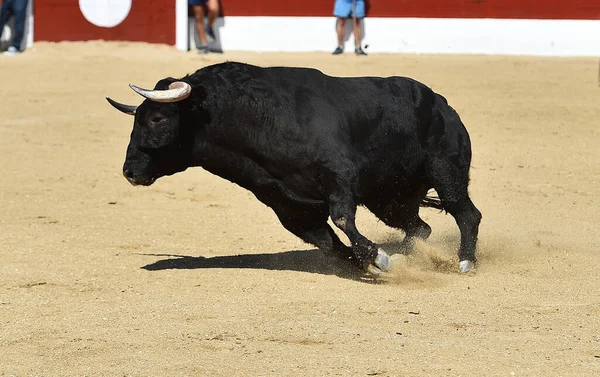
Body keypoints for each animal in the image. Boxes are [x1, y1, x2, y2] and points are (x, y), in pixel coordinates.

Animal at [106, 61, 482, 274]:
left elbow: (342, 219)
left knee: (466, 214)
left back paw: (464, 263)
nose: (130, 171)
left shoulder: (338, 176)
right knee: (420, 228)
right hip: (390, 199)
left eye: (156, 118)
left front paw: (380, 258)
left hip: (446, 172)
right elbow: (329, 245)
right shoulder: (289, 206)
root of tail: (443, 105)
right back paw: (414, 255)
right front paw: (374, 262)